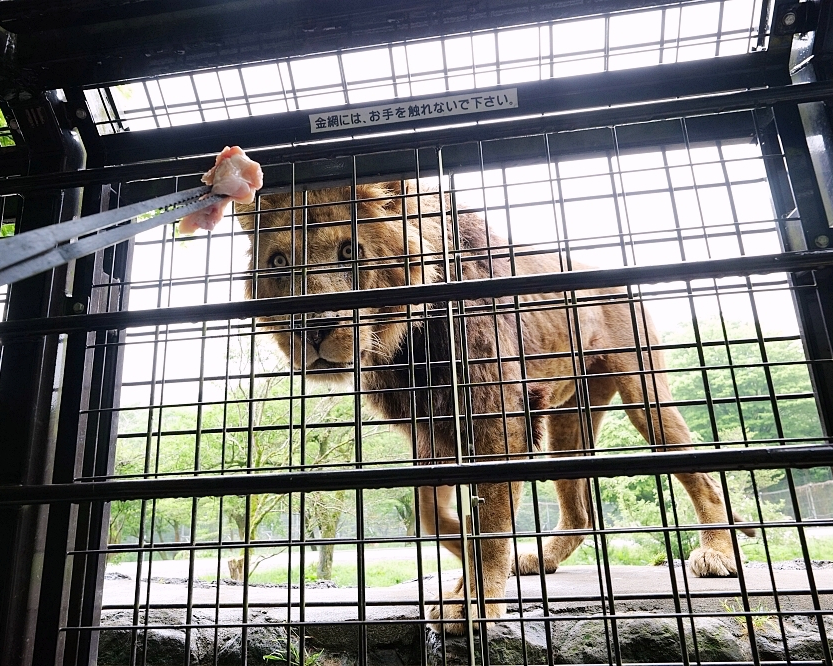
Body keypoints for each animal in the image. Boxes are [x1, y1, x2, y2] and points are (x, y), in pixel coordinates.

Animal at [236, 182, 752, 632]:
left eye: (350, 251)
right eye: (278, 262)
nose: (312, 327)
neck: (404, 345)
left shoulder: (497, 416)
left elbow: (491, 520)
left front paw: (474, 602)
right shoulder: (432, 428)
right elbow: (433, 515)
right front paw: (464, 554)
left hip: (645, 395)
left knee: (703, 478)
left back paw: (718, 553)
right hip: (567, 421)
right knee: (580, 514)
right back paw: (540, 558)